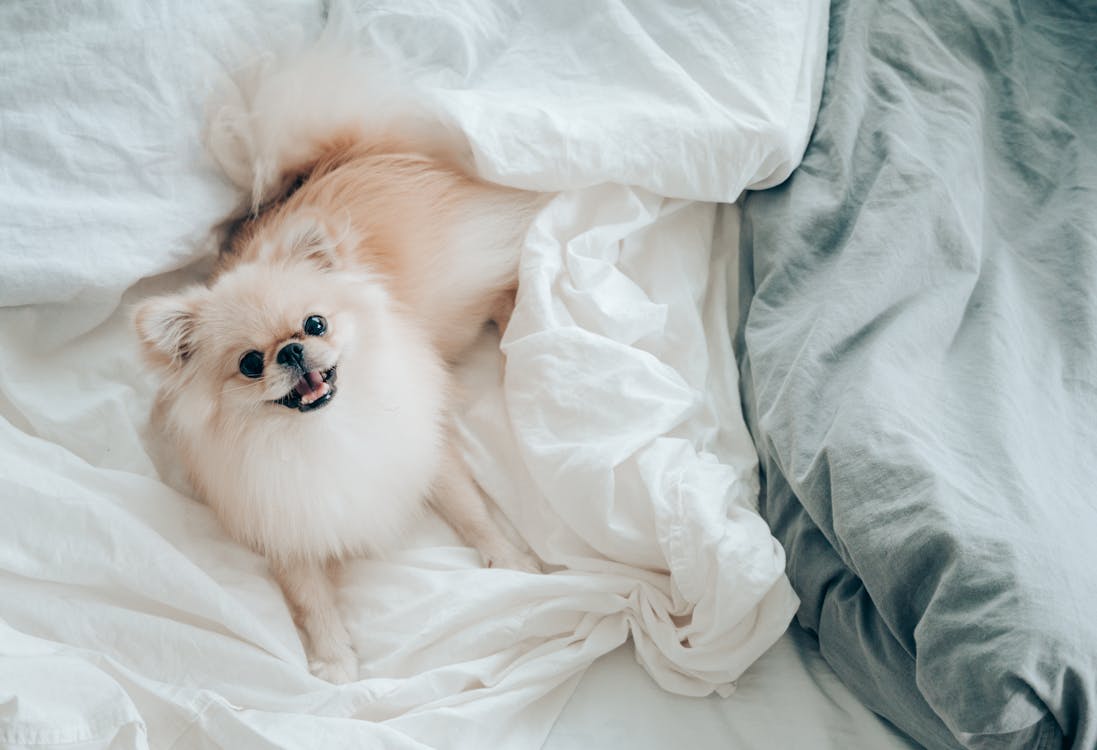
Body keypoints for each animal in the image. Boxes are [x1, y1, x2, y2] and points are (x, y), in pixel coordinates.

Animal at [133, 42, 544, 684]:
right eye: (250, 364)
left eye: (315, 325)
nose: (290, 350)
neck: (324, 432)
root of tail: (352, 155)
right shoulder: (280, 521)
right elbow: (308, 594)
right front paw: (333, 660)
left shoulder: (424, 451)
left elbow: (472, 510)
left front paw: (512, 561)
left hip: (457, 297)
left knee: (501, 288)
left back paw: (513, 330)